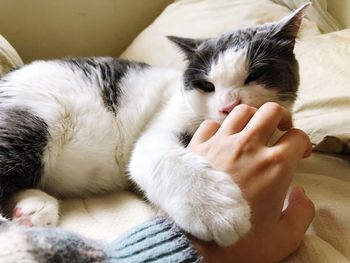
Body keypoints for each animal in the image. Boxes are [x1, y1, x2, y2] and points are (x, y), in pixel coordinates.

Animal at [0, 3, 306, 248]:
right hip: (31, 125)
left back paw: (32, 210)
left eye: (255, 75)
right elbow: (165, 159)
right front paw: (216, 210)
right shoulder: (159, 129)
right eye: (207, 85)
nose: (228, 106)